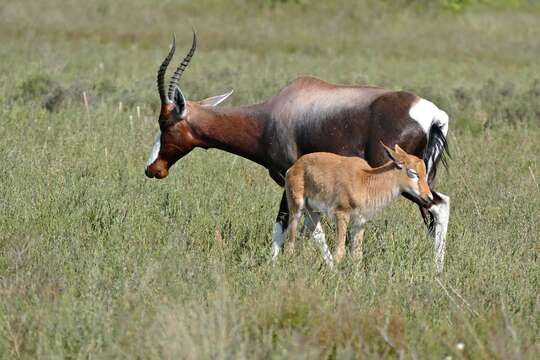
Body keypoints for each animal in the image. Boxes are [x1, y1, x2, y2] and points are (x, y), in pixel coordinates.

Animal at [284, 143, 432, 268]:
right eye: (413, 172)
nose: (429, 197)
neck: (365, 181)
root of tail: (294, 167)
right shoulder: (341, 215)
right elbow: (340, 252)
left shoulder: (360, 222)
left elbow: (357, 256)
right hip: (296, 209)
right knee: (290, 242)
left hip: (313, 214)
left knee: (303, 237)